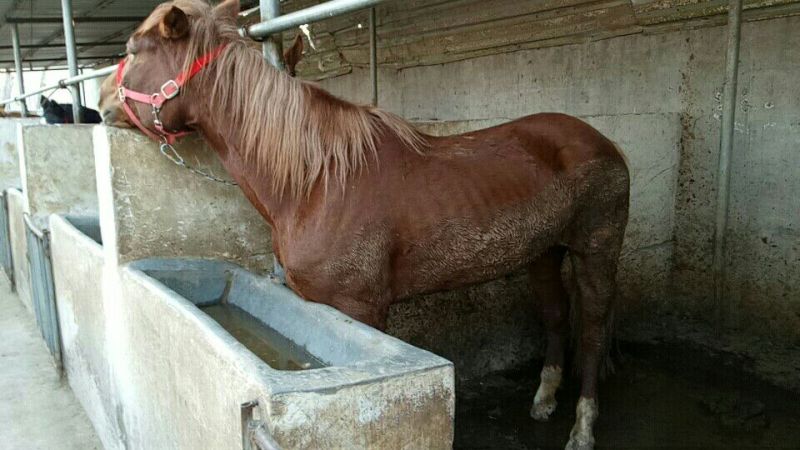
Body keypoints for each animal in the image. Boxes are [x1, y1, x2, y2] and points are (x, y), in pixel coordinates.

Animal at [98, 1, 630, 449]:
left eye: (133, 50)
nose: (99, 100)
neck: (316, 180)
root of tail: (602, 141)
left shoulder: (362, 309)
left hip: (595, 252)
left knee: (592, 328)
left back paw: (582, 428)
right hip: (543, 253)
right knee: (557, 317)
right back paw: (543, 401)